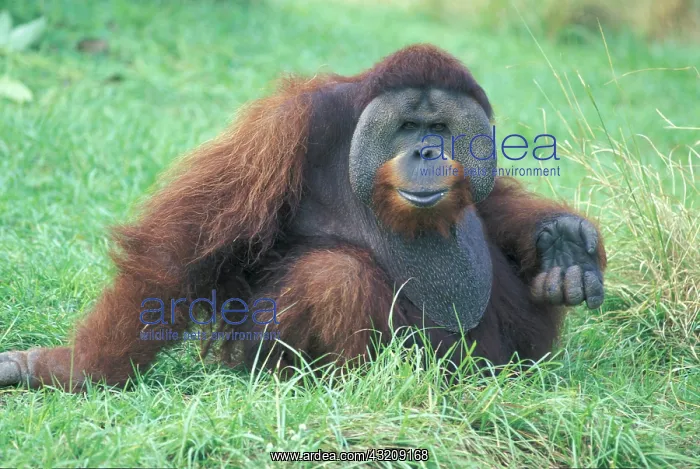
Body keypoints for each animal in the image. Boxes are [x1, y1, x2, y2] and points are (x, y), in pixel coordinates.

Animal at [0, 44, 606, 390]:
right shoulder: (284, 127)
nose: (428, 151)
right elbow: (178, 252)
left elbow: (488, 200)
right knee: (334, 273)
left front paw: (563, 241)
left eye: (440, 128)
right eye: (409, 127)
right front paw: (71, 371)